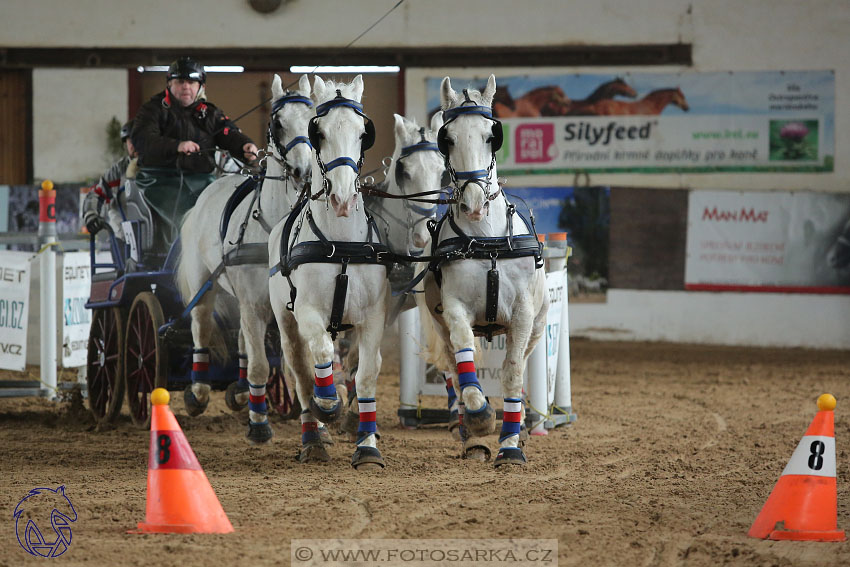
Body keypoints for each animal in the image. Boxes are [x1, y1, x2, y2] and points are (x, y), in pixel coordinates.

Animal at [176, 73, 314, 444]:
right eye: (277, 123)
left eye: (313, 120)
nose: (303, 170)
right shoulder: (254, 303)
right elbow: (261, 365)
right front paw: (260, 425)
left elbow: (299, 363)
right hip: (204, 285)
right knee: (201, 325)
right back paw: (199, 392)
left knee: (242, 338)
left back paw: (239, 390)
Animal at [266, 74, 390, 466]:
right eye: (317, 132)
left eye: (363, 133)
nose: (342, 198)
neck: (342, 245)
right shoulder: (306, 311)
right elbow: (319, 354)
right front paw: (329, 405)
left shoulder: (373, 317)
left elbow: (366, 375)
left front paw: (367, 445)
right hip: (285, 322)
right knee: (301, 372)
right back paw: (314, 434)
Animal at [420, 74, 548, 466]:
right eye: (447, 138)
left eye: (492, 135)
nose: (474, 203)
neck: (486, 239)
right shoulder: (455, 310)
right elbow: (466, 365)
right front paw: (479, 418)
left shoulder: (522, 314)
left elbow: (512, 374)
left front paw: (510, 445)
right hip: (440, 325)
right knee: (457, 371)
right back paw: (470, 437)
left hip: (537, 327)